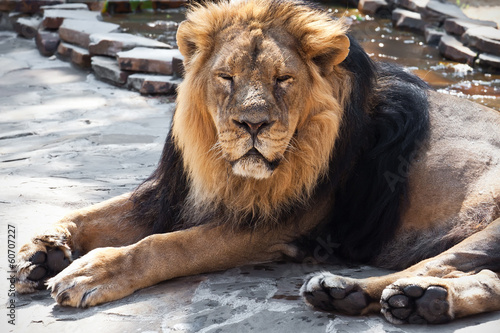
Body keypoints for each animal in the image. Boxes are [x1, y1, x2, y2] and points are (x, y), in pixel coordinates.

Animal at [14, 0, 500, 322]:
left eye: (283, 79)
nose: (252, 124)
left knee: (436, 264)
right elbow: (92, 212)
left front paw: (92, 272)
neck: (226, 171)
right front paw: (43, 249)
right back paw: (421, 301)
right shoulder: (173, 193)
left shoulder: (282, 224)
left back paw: (354, 290)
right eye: (226, 77)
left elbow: (167, 245)